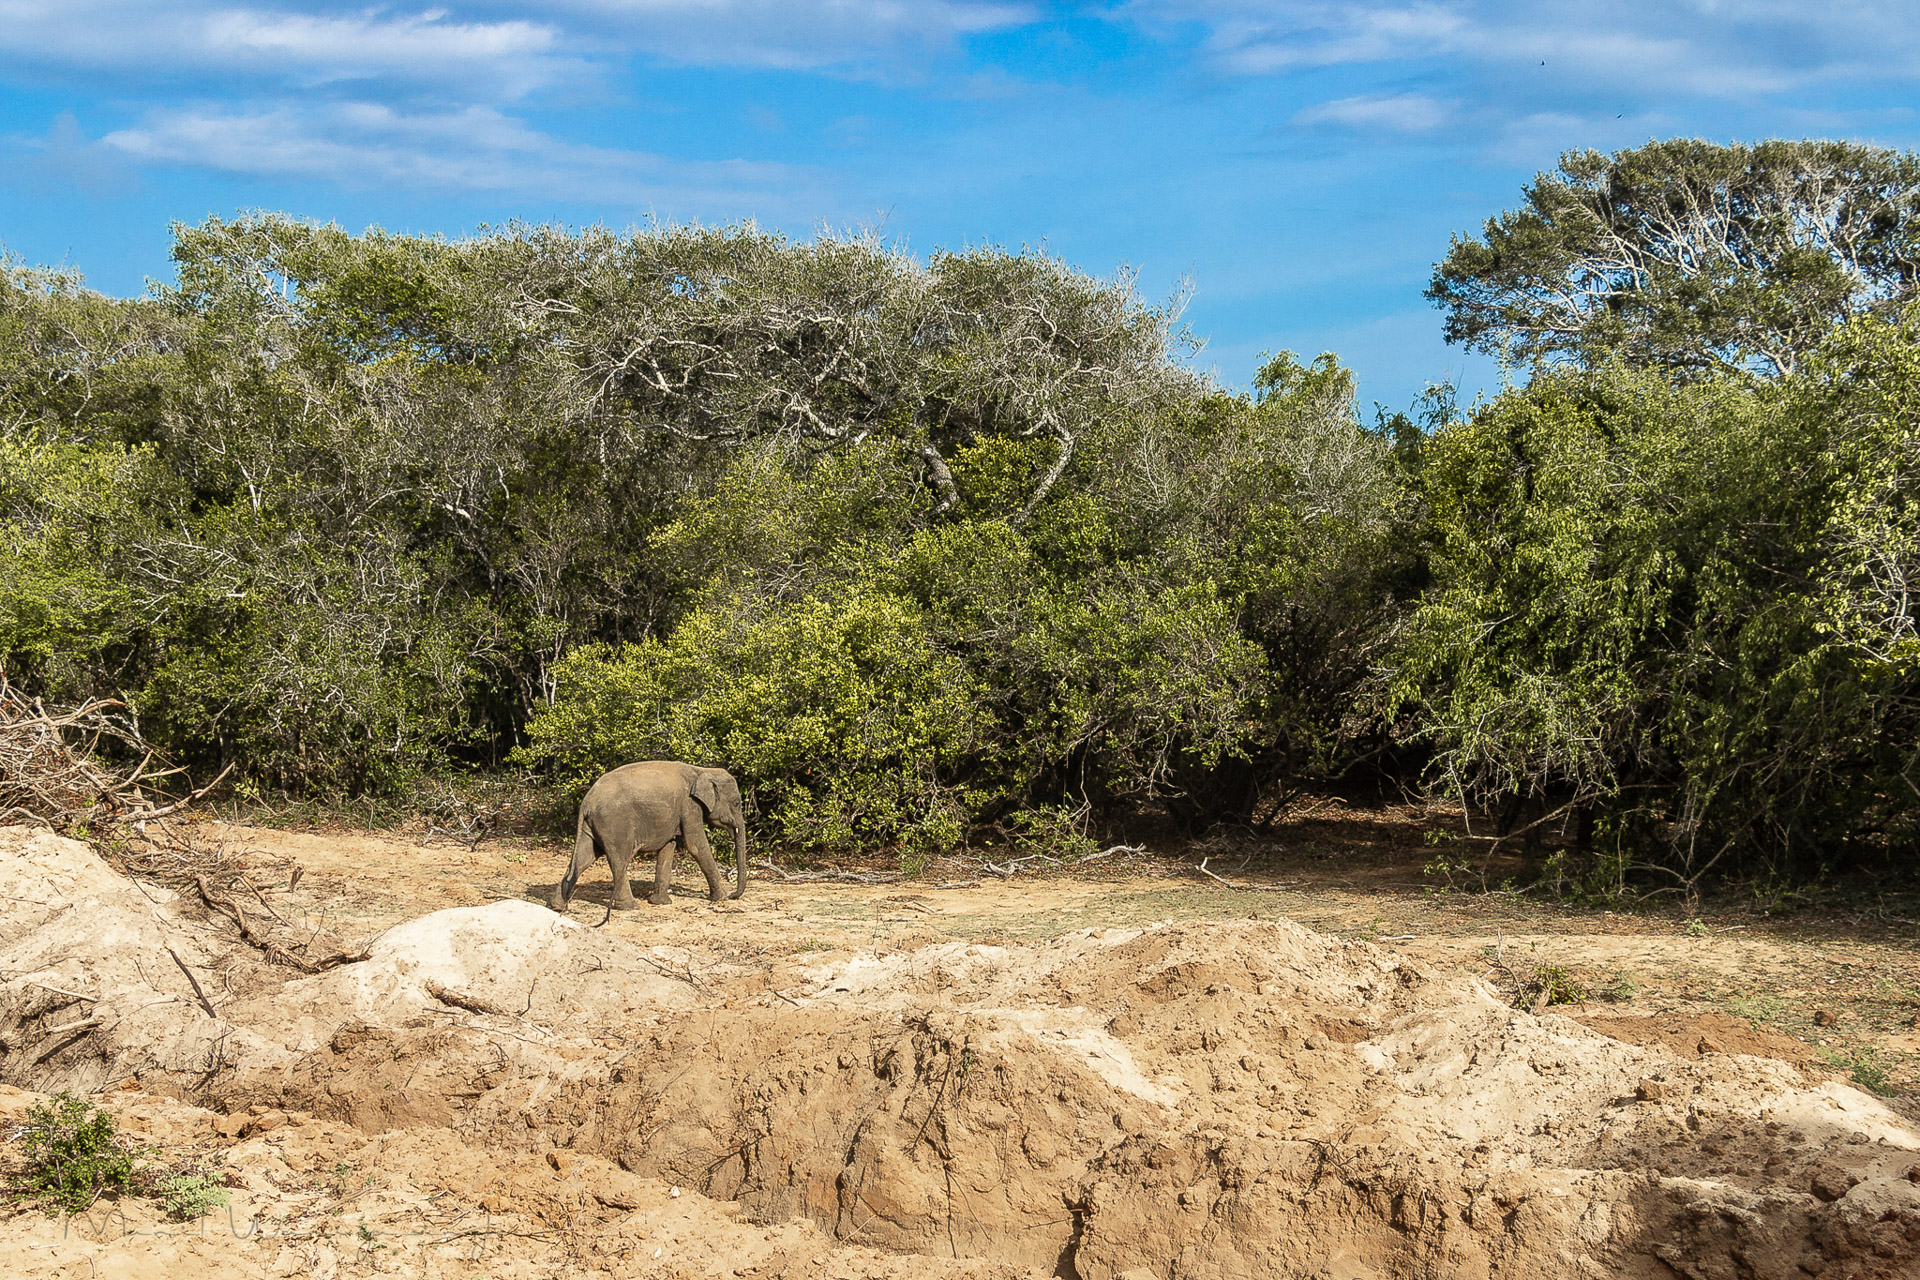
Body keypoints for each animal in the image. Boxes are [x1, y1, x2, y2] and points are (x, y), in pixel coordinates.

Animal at [549, 759, 748, 909]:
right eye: (737, 803)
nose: (733, 894)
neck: (702, 770)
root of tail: (586, 802)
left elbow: (668, 847)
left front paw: (661, 903)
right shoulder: (689, 806)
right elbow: (696, 845)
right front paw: (721, 897)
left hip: (592, 826)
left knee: (583, 858)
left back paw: (558, 906)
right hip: (615, 824)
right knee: (618, 859)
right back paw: (629, 907)